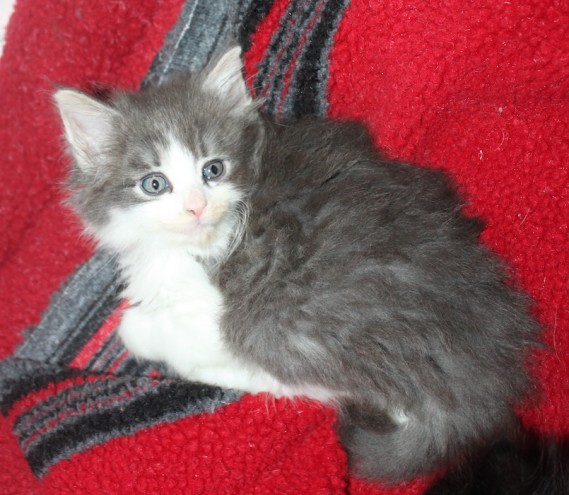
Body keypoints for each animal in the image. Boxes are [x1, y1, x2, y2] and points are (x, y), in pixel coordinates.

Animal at [53, 48, 540, 486]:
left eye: (213, 170)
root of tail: (481, 373)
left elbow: (140, 326)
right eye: (154, 184)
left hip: (278, 321)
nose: (196, 207)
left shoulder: (210, 311)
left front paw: (139, 329)